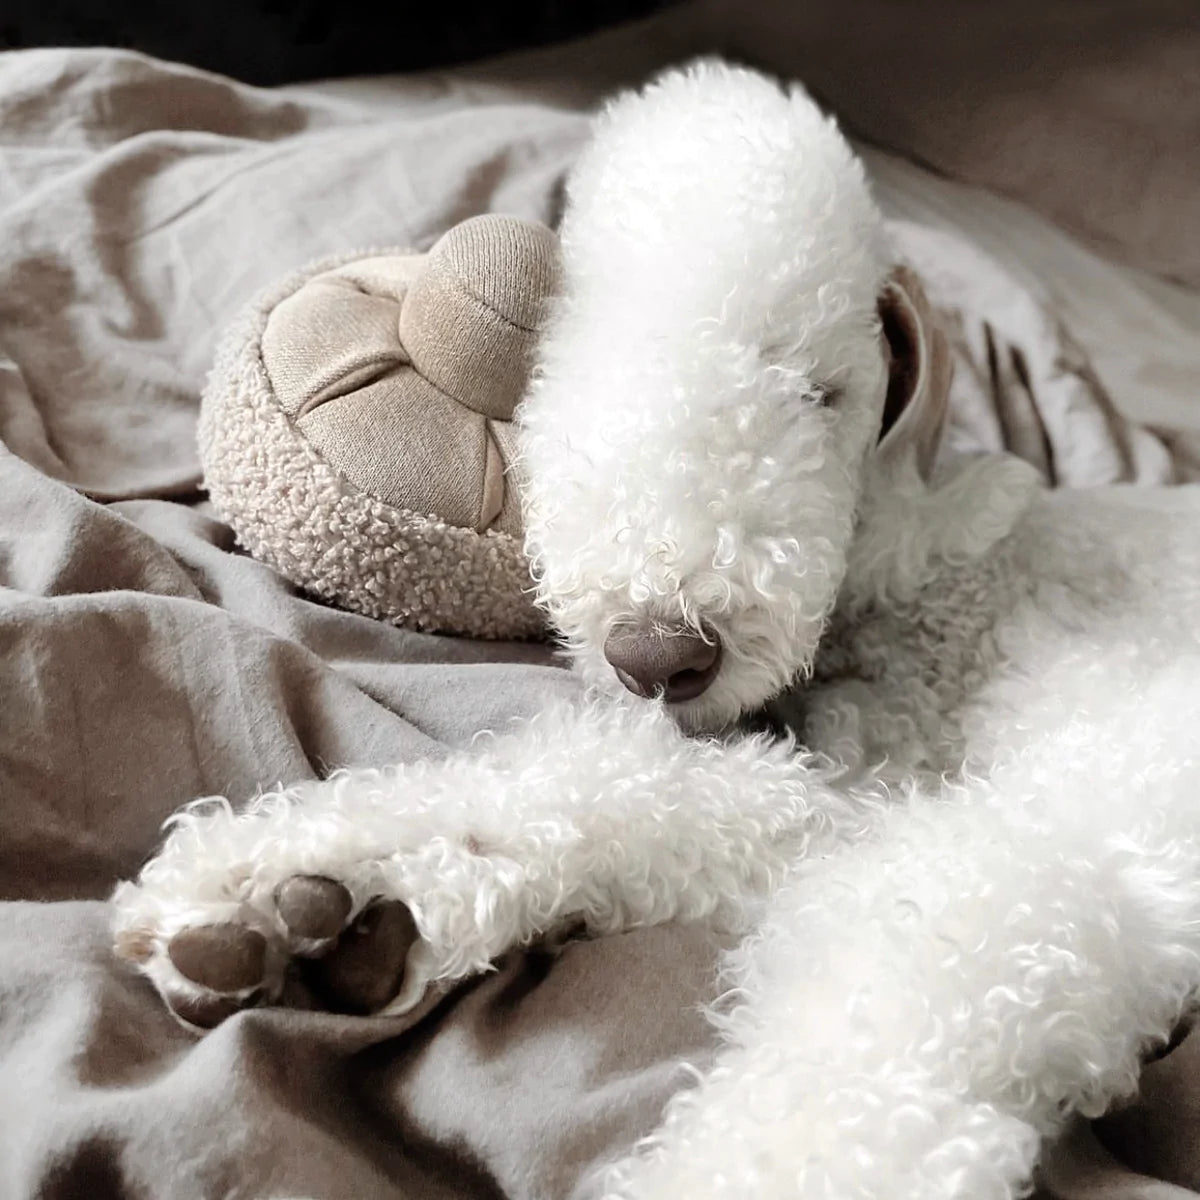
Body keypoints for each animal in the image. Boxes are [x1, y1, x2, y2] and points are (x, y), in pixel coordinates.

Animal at [110, 63, 1200, 1200]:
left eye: (819, 390)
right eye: (565, 368)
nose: (660, 656)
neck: (931, 609)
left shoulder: (1066, 848)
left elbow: (887, 1030)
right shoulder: (859, 792)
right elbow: (639, 791)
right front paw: (296, 895)